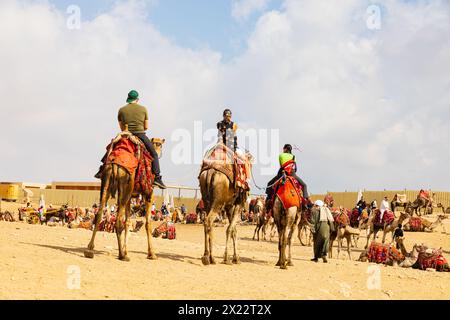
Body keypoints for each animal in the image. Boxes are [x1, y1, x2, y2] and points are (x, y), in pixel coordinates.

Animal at [83, 134, 164, 262]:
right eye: (158, 143)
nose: (159, 149)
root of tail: (115, 163)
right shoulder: (149, 193)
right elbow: (147, 223)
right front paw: (152, 254)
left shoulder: (130, 196)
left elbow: (128, 222)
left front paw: (126, 250)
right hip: (125, 185)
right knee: (117, 221)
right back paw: (122, 255)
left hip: (106, 182)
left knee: (99, 214)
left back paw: (90, 249)